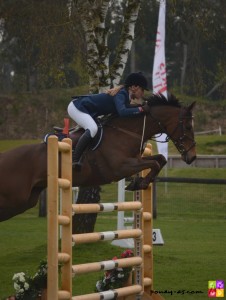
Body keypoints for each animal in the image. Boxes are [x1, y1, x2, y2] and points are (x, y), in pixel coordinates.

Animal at [0, 95, 196, 221]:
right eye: (187, 126)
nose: (192, 157)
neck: (126, 132)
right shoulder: (121, 167)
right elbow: (154, 162)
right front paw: (138, 183)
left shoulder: (135, 159)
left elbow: (160, 159)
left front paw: (138, 183)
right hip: (16, 199)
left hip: (26, 200)